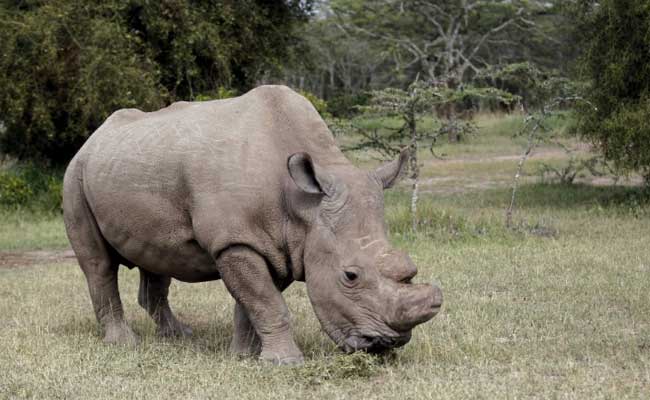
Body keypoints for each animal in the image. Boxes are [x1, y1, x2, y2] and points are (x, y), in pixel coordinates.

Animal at [63, 86, 440, 364]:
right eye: (350, 276)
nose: (383, 345)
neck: (304, 205)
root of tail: (93, 138)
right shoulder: (236, 241)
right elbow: (267, 302)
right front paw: (285, 363)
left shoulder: (282, 244)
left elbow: (254, 302)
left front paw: (245, 356)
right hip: (75, 175)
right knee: (98, 264)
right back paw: (124, 343)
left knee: (156, 258)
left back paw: (178, 335)